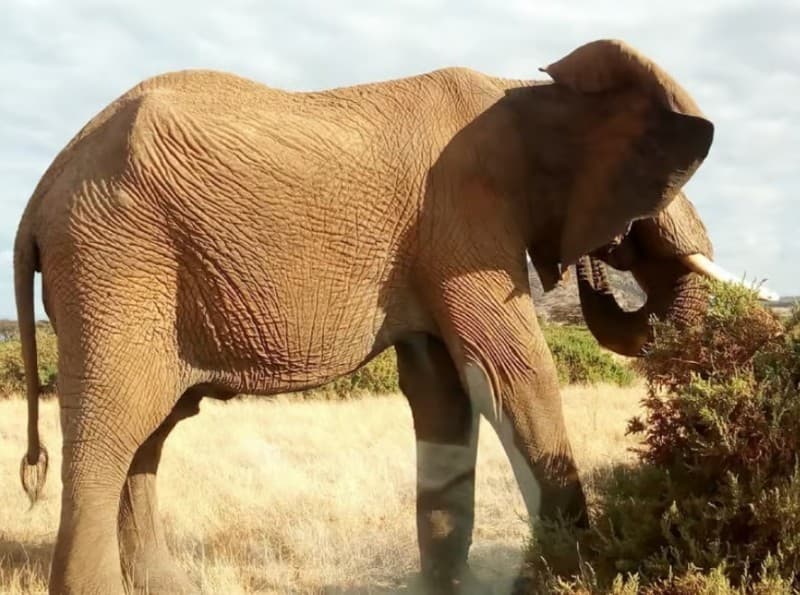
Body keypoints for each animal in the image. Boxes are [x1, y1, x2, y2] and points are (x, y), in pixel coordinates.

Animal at [14, 38, 748, 594]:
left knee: (150, 434)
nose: (597, 265)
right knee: (111, 430)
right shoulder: (463, 216)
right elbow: (512, 375)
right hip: (114, 261)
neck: (523, 89)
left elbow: (445, 396)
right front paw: (569, 576)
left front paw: (447, 587)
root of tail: (39, 195)